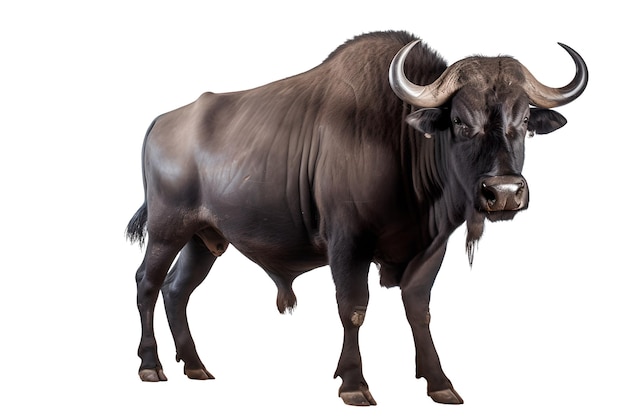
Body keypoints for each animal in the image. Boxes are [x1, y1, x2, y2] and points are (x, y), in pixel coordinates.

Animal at [125, 30, 584, 404]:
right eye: (458, 119)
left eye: (524, 119)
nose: (503, 192)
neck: (401, 140)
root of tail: (163, 122)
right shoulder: (348, 246)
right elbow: (353, 309)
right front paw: (354, 384)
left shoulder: (430, 249)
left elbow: (419, 309)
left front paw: (439, 383)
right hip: (166, 232)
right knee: (147, 283)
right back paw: (151, 365)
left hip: (203, 239)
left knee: (177, 290)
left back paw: (195, 365)